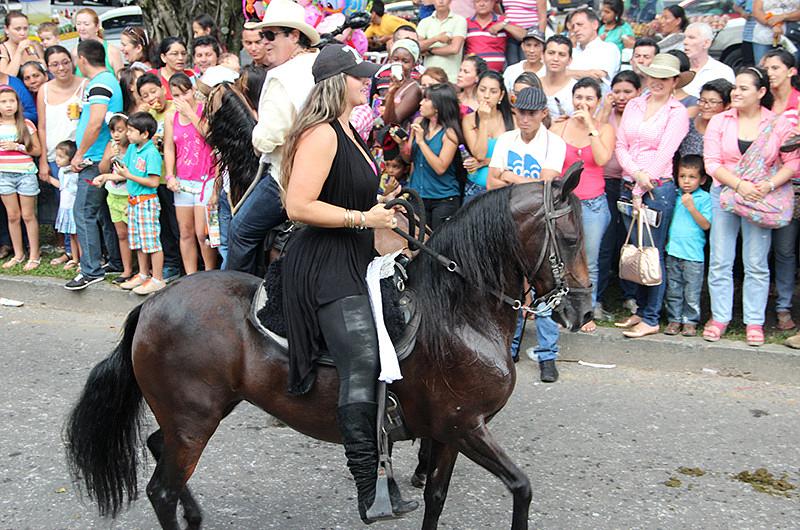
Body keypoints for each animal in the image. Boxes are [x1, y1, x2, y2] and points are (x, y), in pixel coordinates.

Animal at [64, 172, 592, 524]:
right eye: (569, 238)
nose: (581, 312)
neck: (458, 315)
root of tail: (151, 306)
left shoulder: (449, 433)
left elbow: (437, 499)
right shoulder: (466, 427)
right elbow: (521, 488)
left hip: (197, 414)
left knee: (160, 453)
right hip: (194, 420)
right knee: (161, 490)